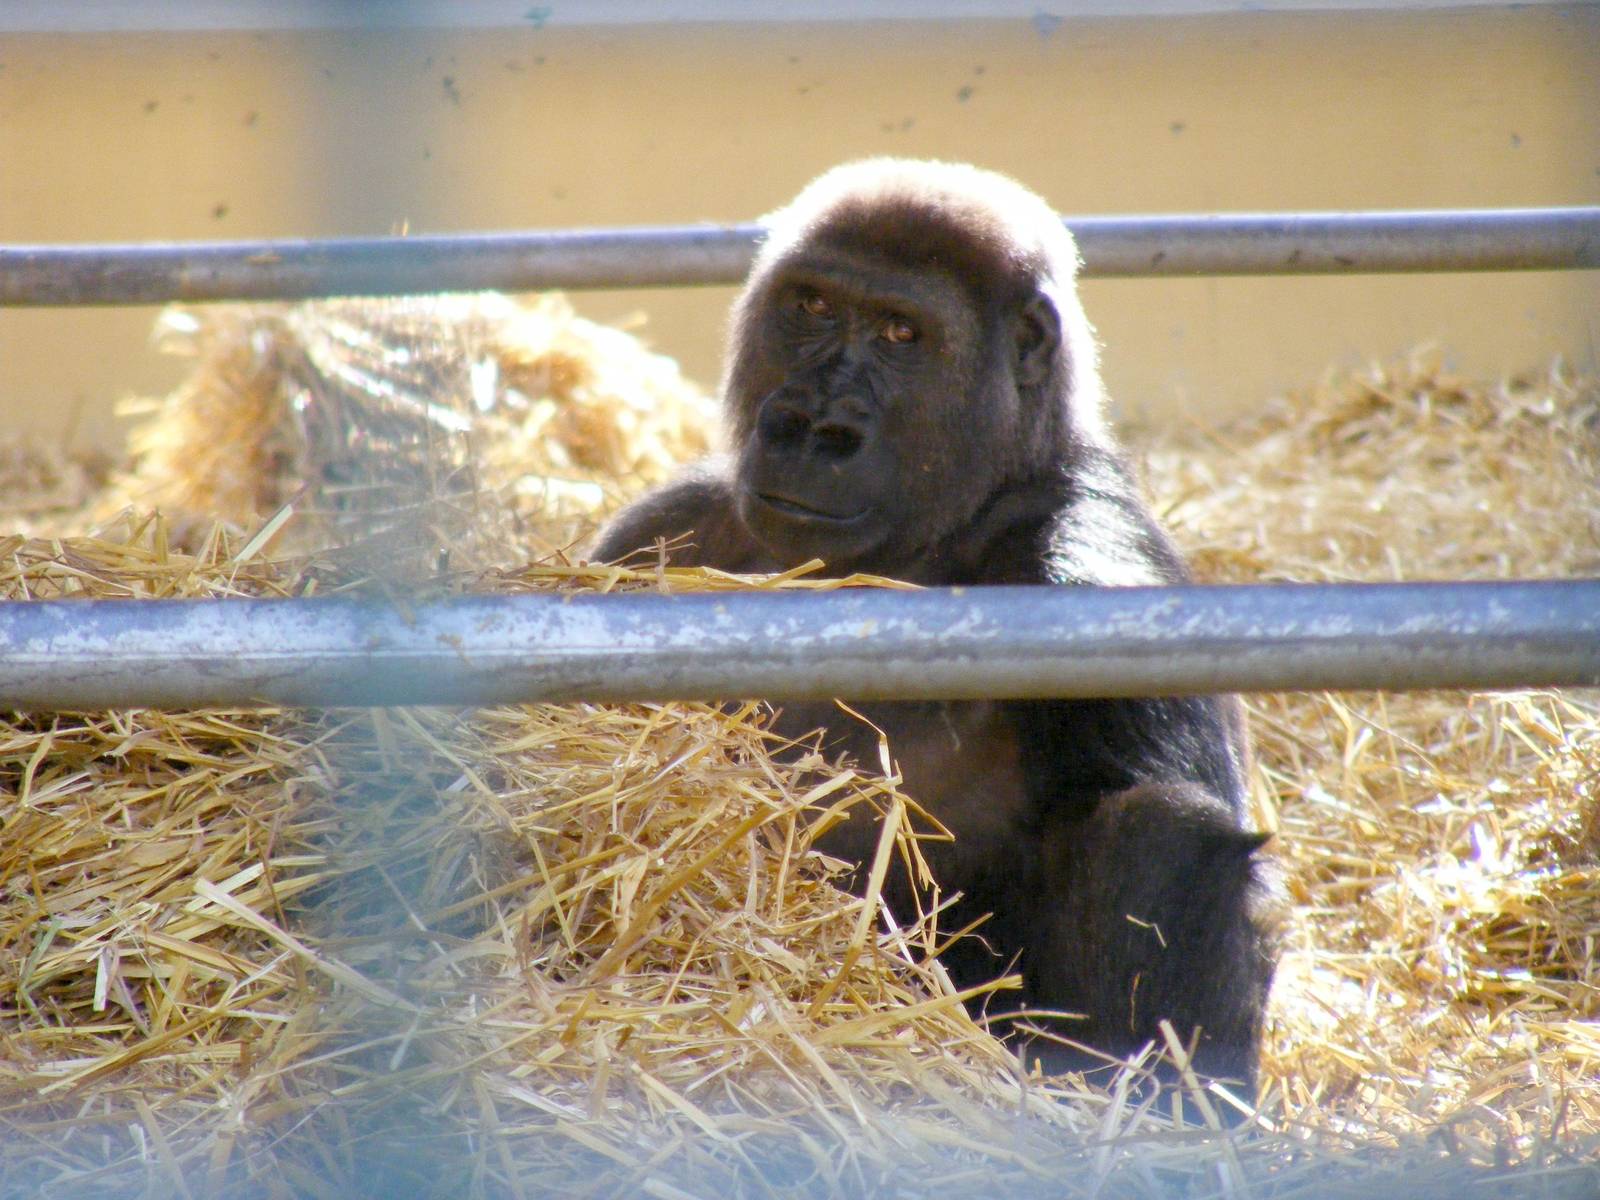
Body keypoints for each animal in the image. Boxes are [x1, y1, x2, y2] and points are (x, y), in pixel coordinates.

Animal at [592, 159, 1279, 1093]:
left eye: (900, 333)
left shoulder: (1093, 565)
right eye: (811, 306)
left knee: (1158, 824)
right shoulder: (658, 531)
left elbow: (1174, 846)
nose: (815, 427)